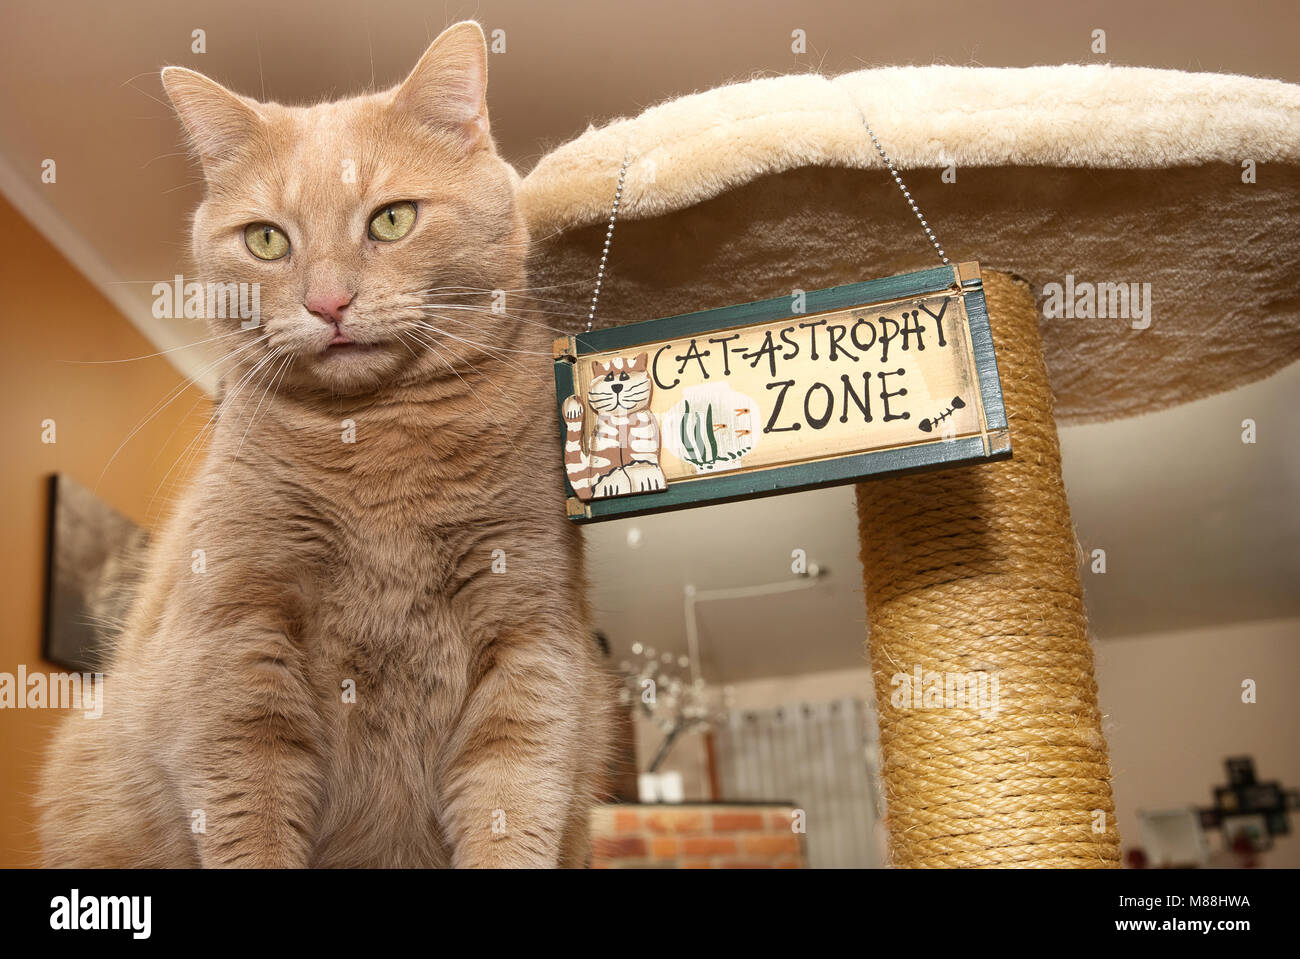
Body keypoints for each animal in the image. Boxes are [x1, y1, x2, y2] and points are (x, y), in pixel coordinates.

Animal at [35, 20, 613, 868]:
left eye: (392, 220)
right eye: (266, 240)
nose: (328, 302)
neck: (377, 449)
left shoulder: (531, 645)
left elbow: (514, 808)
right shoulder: (236, 647)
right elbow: (251, 816)